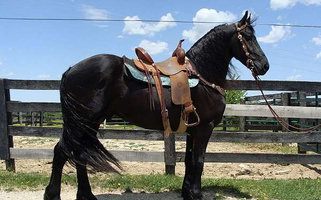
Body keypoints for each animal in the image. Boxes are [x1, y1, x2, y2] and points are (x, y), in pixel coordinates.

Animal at [43, 12, 268, 200]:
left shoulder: (192, 129)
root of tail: (70, 70)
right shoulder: (205, 128)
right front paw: (196, 194)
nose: (264, 66)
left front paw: (187, 193)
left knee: (78, 154)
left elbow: (189, 160)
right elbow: (199, 161)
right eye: (248, 36)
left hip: (90, 123)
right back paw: (53, 194)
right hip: (82, 121)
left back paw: (86, 196)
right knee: (62, 152)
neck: (201, 74)